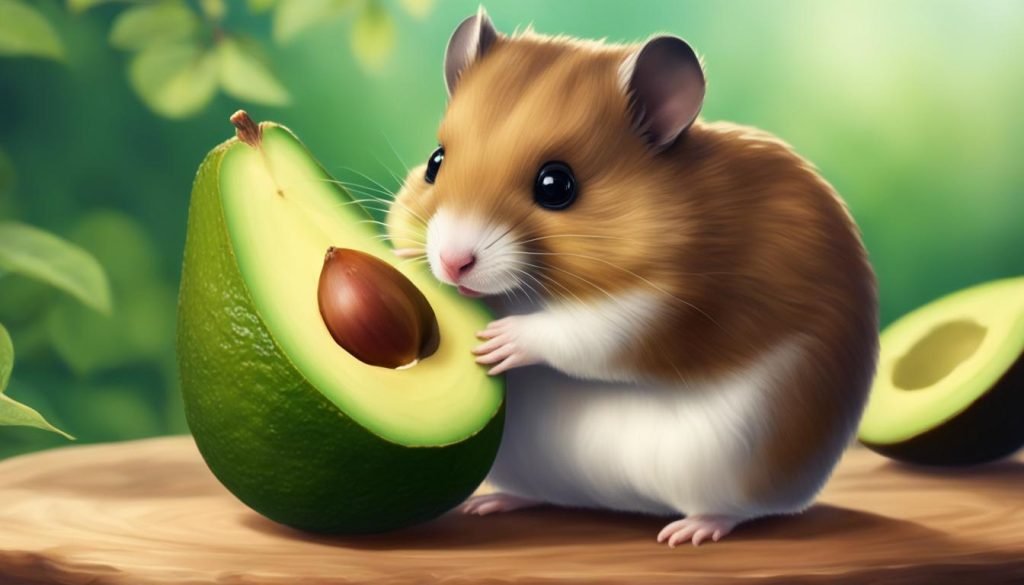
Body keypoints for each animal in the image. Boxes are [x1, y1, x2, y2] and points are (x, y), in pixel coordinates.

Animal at [386, 8, 878, 547]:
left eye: (556, 185)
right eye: (436, 163)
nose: (453, 263)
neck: (526, 295)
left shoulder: (665, 307)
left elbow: (585, 331)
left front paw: (499, 342)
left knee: (743, 510)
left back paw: (688, 532)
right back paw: (491, 504)